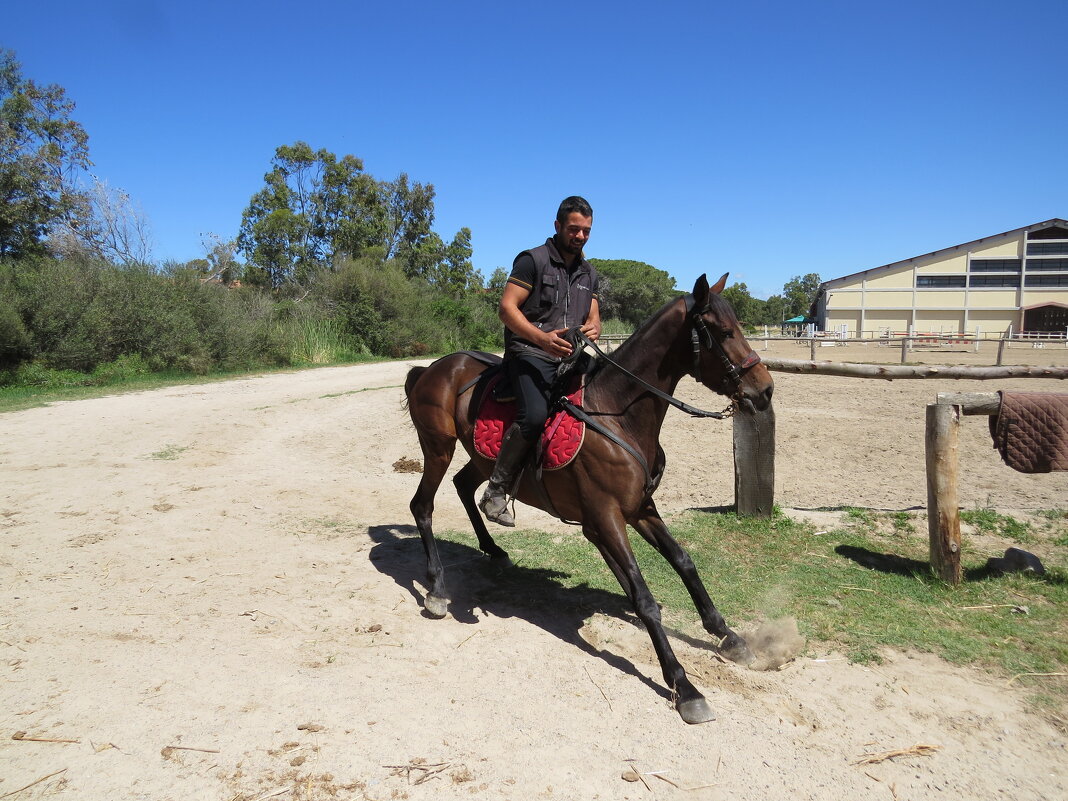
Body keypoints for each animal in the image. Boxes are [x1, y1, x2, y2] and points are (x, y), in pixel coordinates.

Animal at [403, 273, 773, 726]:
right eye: (722, 332)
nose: (765, 390)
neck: (616, 414)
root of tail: (433, 367)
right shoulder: (607, 518)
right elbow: (644, 598)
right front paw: (684, 687)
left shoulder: (640, 509)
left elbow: (684, 563)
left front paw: (728, 636)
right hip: (437, 448)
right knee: (422, 506)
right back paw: (437, 589)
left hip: (479, 456)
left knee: (464, 486)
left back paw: (494, 546)